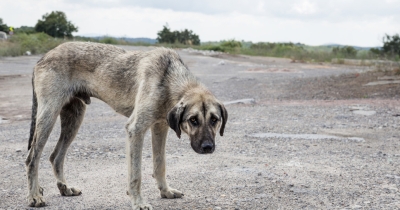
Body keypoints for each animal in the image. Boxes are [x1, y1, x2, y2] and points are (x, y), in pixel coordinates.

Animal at [25, 41, 228, 209]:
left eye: (214, 119)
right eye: (193, 120)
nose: (208, 147)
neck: (169, 79)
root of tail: (43, 57)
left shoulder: (159, 128)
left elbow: (159, 164)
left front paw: (165, 191)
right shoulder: (135, 129)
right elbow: (136, 174)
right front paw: (138, 202)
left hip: (73, 119)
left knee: (55, 156)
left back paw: (64, 188)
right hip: (48, 116)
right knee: (32, 158)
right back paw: (35, 196)